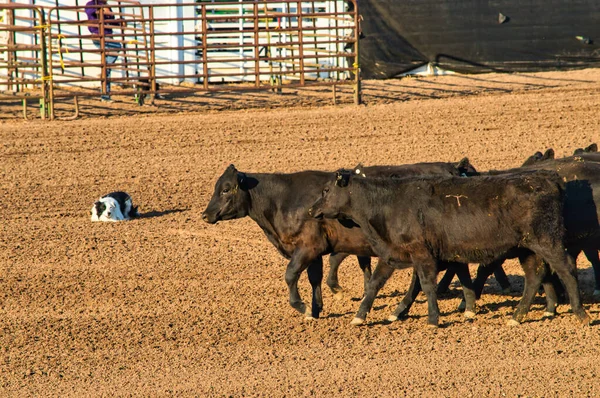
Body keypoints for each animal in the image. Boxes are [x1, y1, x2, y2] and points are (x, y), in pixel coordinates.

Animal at [310, 169, 592, 326]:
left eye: (326, 190)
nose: (312, 210)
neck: (388, 203)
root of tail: (547, 178)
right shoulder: (393, 253)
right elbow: (374, 284)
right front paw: (361, 316)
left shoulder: (422, 254)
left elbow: (426, 285)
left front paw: (433, 319)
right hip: (527, 249)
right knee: (535, 277)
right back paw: (517, 316)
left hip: (547, 241)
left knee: (567, 269)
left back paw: (580, 314)